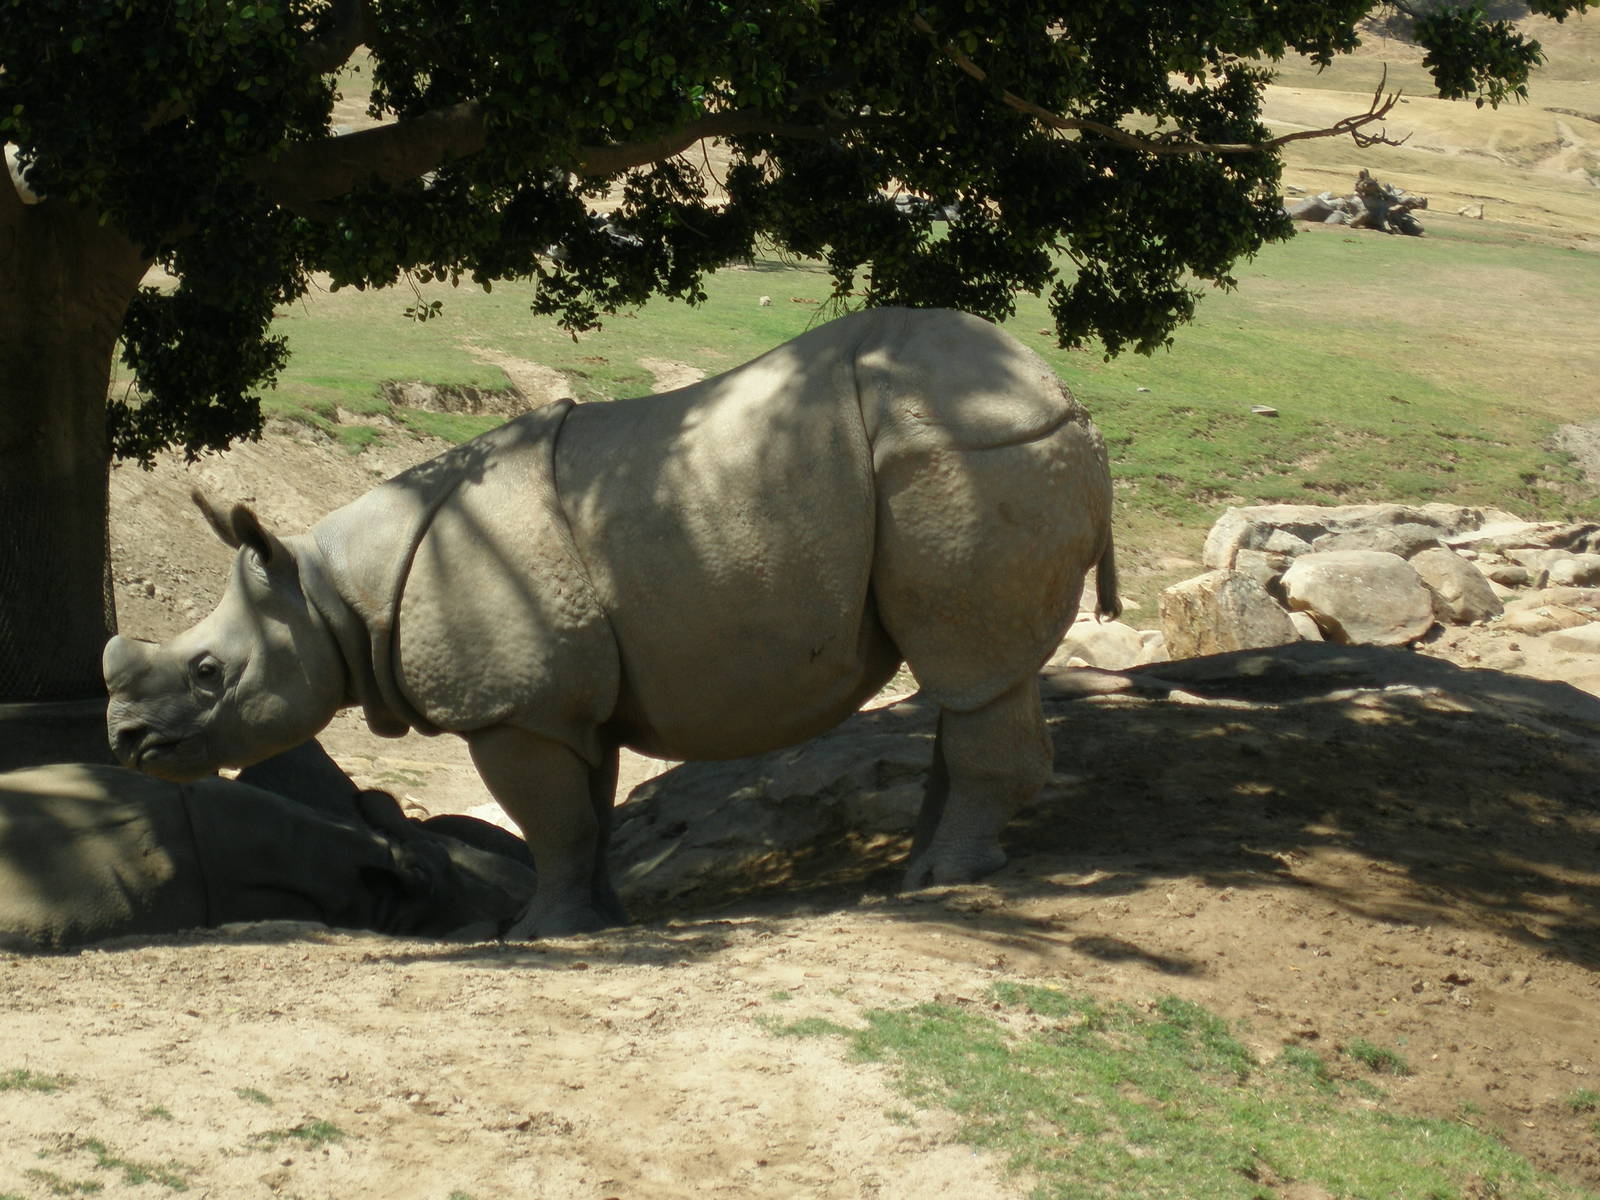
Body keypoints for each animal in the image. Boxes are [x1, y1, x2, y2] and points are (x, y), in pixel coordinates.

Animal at [104, 308, 1118, 938]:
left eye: (207, 672)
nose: (124, 738)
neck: (328, 591)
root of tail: (1066, 398)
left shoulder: (508, 705)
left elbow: (548, 822)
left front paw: (532, 934)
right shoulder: (557, 698)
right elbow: (581, 816)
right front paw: (589, 922)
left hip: (966, 453)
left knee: (969, 667)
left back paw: (947, 881)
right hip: (964, 447)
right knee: (972, 679)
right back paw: (921, 875)